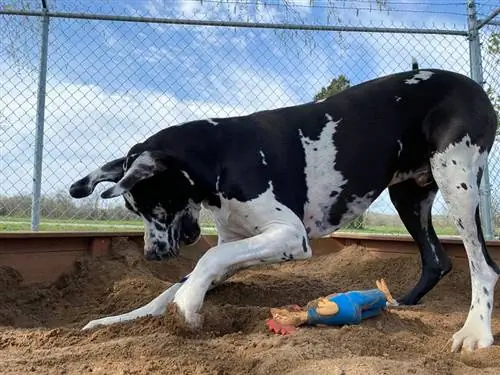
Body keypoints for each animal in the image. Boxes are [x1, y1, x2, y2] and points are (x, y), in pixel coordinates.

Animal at [69, 69, 496, 354]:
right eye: (132, 209)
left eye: (154, 204)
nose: (152, 255)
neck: (222, 155)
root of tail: (472, 85)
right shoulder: (243, 242)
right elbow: (180, 282)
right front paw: (123, 319)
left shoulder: (289, 235)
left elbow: (206, 259)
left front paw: (188, 307)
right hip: (409, 196)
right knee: (437, 259)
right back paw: (401, 303)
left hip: (456, 181)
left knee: (484, 266)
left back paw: (475, 331)